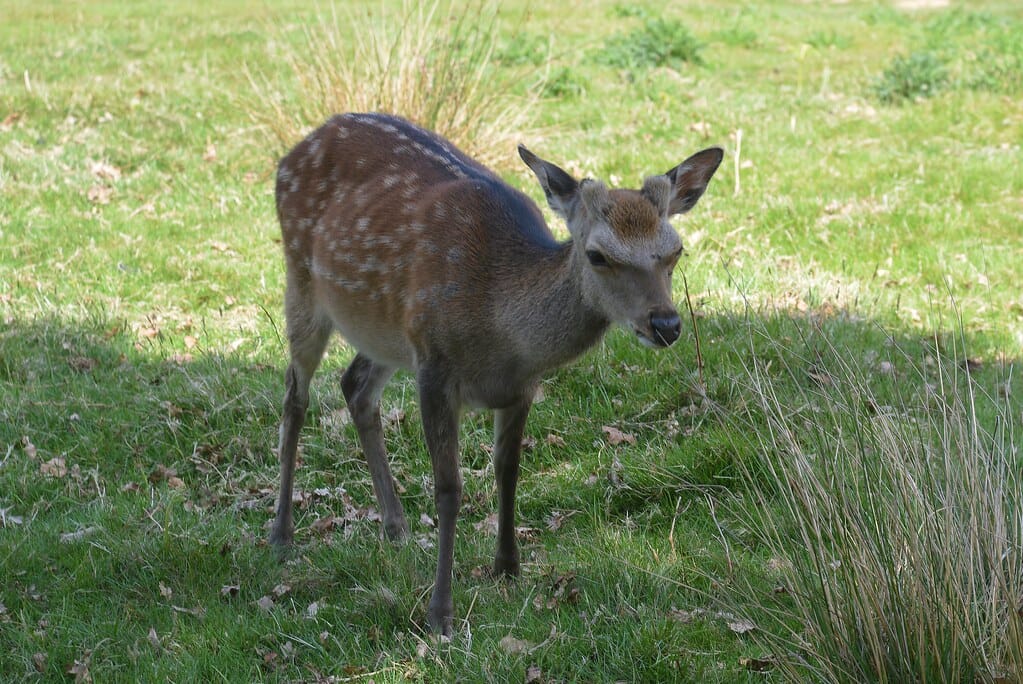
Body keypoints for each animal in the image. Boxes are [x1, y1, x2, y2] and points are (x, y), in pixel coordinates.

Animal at [270, 112, 723, 636]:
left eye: (675, 251)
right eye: (598, 255)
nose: (666, 324)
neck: (500, 331)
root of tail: (296, 148)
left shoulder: (520, 386)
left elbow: (508, 469)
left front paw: (507, 566)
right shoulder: (435, 366)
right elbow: (449, 487)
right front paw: (440, 613)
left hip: (385, 331)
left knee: (356, 387)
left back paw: (396, 526)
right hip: (302, 282)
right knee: (295, 395)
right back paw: (281, 532)